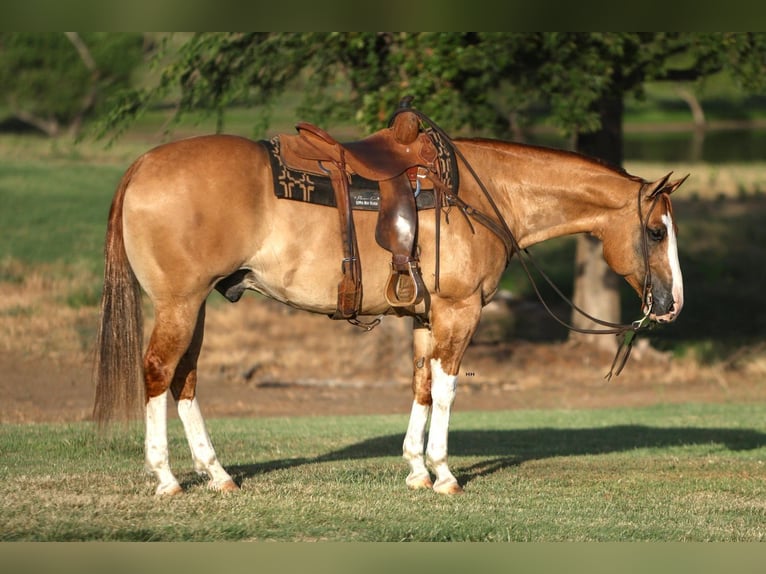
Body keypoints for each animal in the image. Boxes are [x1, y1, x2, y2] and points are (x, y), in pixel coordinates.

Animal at [93, 110, 688, 498]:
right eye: (656, 232)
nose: (672, 303)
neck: (483, 193)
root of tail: (142, 165)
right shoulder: (458, 311)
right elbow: (447, 388)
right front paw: (444, 473)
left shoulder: (427, 317)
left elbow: (422, 385)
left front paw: (416, 468)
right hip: (179, 303)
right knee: (158, 372)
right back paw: (167, 478)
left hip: (195, 307)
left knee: (185, 379)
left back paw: (216, 474)